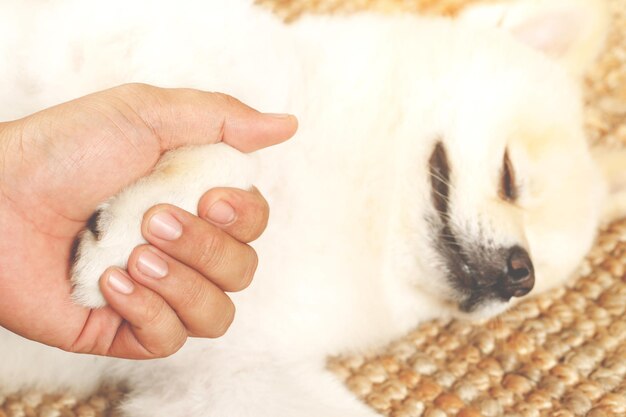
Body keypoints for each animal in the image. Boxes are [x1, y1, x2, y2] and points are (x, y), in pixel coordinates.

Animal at [1, 0, 624, 414]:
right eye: (510, 178)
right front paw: (129, 235)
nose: (521, 274)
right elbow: (233, 147)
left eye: (538, 282)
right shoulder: (124, 45)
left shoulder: (228, 375)